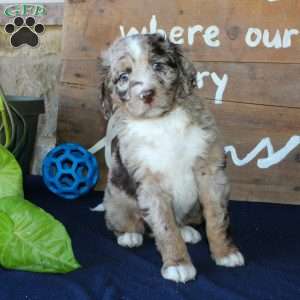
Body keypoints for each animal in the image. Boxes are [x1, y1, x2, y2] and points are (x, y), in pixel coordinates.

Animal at [98, 34, 244, 282]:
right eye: (124, 77)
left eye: (158, 66)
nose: (146, 94)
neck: (162, 121)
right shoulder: (149, 182)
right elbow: (165, 227)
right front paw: (178, 264)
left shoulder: (210, 169)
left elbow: (217, 216)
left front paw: (225, 253)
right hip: (116, 197)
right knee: (119, 220)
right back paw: (129, 235)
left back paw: (185, 230)